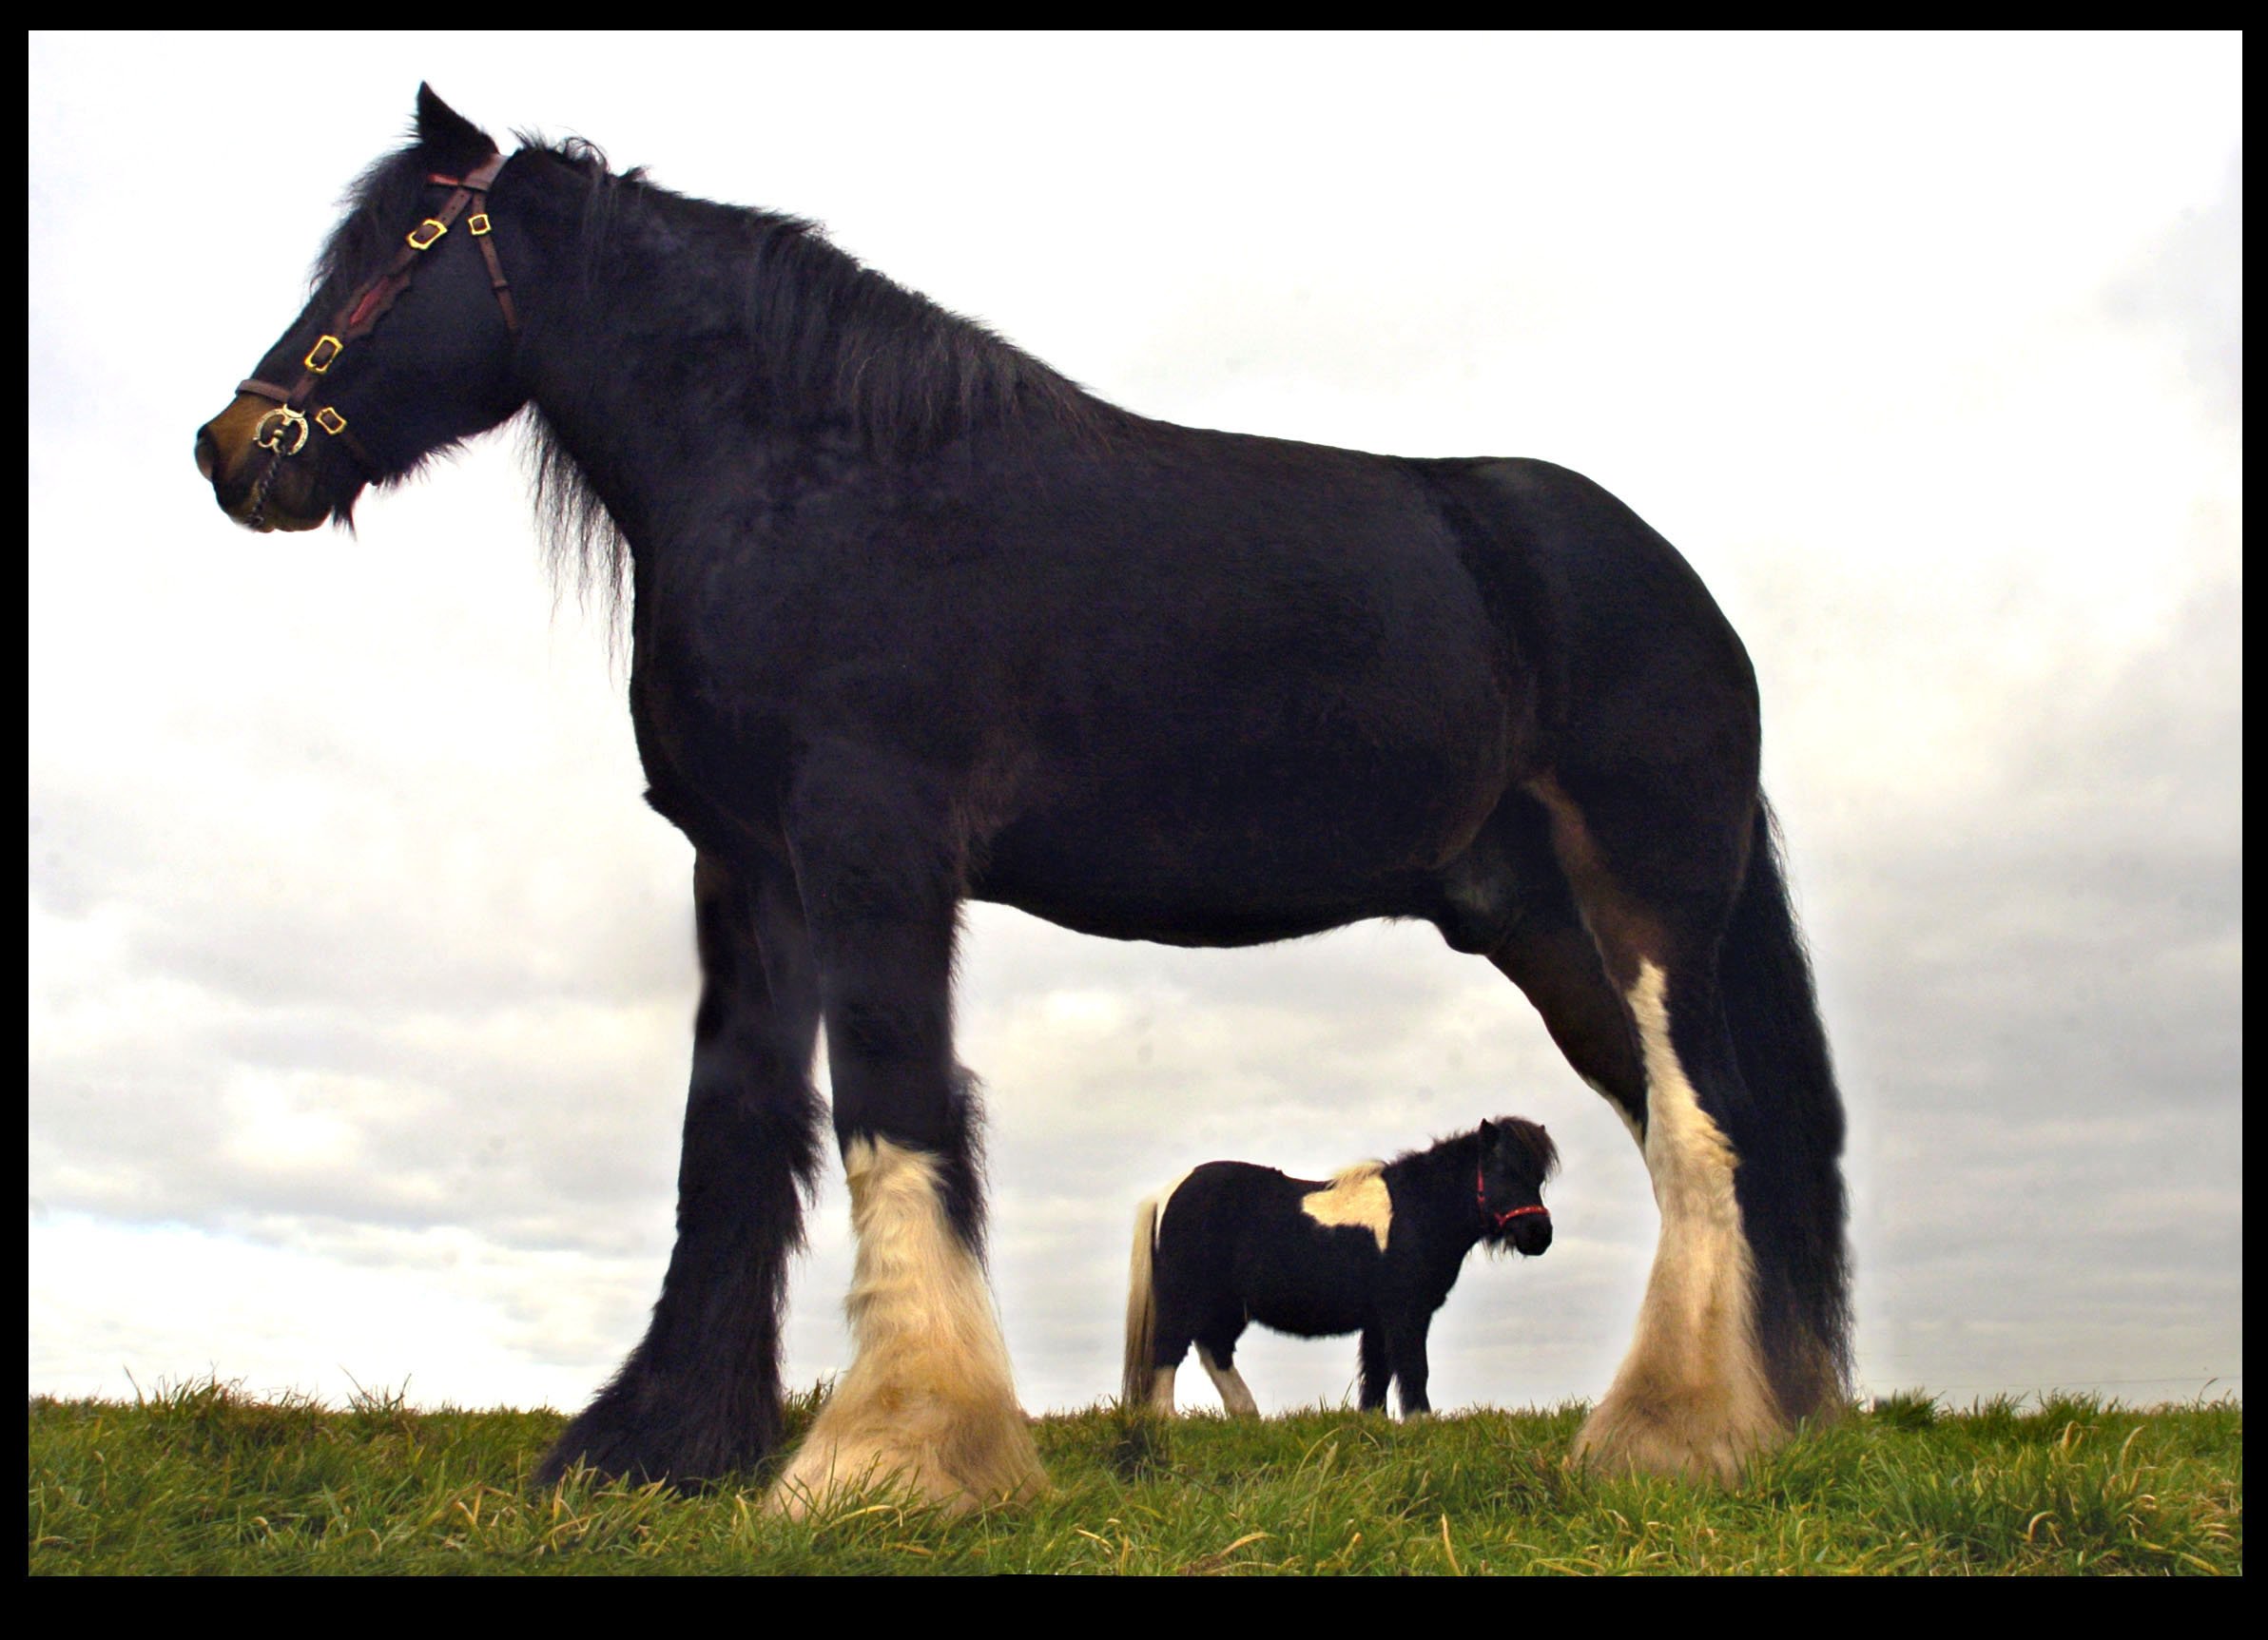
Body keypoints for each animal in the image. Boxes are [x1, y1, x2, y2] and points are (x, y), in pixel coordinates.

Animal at [1120, 1120, 1551, 1415]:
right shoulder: (1406, 1312)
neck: (1416, 1209)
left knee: (1215, 1350)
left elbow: (1376, 1376)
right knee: (1169, 1352)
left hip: (1226, 1308)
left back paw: (1247, 1415)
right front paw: (1421, 1423)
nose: (1539, 1234)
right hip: (1184, 1301)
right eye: (1502, 1172)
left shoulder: (1379, 1320)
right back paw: (1168, 1420)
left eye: (1539, 1178)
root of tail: (1166, 1193)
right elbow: (1413, 1369)